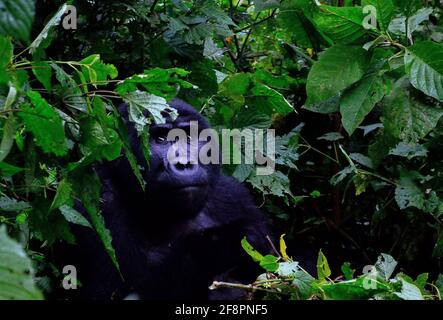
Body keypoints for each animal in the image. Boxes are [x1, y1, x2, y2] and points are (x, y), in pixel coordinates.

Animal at [59, 98, 274, 300]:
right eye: (160, 138)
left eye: (189, 137)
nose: (184, 163)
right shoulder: (96, 199)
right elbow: (110, 290)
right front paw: (228, 240)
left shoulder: (234, 195)